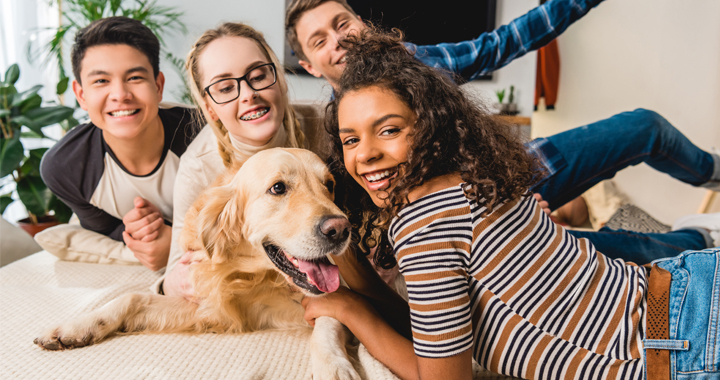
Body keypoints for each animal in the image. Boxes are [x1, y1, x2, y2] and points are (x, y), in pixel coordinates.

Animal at [35, 148, 360, 380]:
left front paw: (333, 366)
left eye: (329, 185)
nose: (340, 229)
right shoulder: (212, 306)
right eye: (278, 188)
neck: (249, 274)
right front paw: (75, 327)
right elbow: (132, 298)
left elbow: (329, 319)